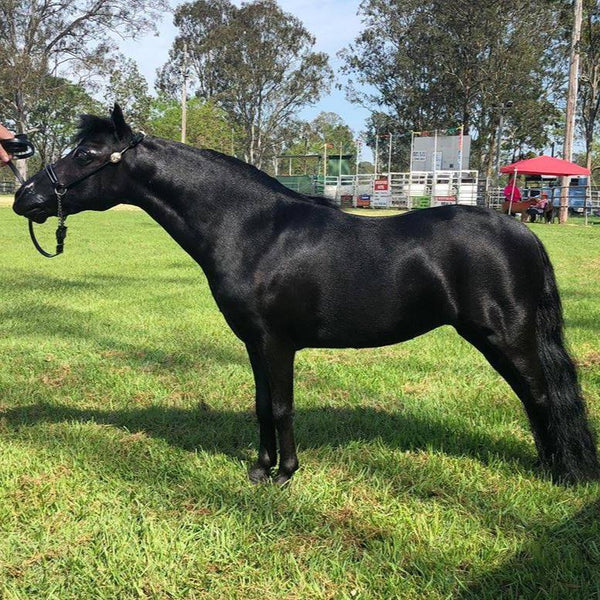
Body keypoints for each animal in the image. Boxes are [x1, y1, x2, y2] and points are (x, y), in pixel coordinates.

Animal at [11, 105, 596, 486]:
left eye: (87, 153)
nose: (25, 197)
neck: (251, 230)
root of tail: (521, 231)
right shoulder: (253, 343)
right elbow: (261, 404)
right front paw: (260, 468)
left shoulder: (277, 342)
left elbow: (283, 405)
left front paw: (285, 475)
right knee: (535, 398)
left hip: (506, 337)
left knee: (542, 395)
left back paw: (563, 474)